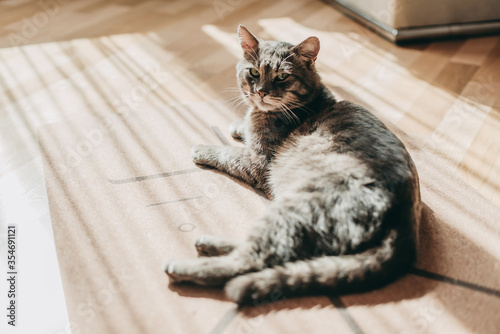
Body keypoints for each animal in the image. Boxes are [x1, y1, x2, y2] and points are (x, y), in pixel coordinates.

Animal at [162, 24, 420, 304]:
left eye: (282, 77)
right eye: (254, 72)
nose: (261, 91)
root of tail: (404, 222)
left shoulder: (258, 162)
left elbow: (229, 153)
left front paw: (204, 148)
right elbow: (244, 130)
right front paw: (239, 126)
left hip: (292, 210)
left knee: (250, 261)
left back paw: (184, 267)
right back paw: (209, 244)